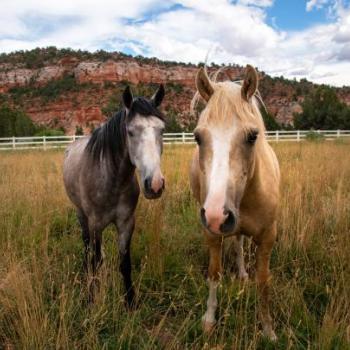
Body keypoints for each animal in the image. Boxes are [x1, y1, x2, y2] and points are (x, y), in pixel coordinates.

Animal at [62, 85, 165, 306]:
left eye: (162, 130)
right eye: (130, 131)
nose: (155, 184)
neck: (112, 180)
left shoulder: (126, 223)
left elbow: (125, 263)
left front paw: (130, 301)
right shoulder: (95, 224)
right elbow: (95, 260)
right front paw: (92, 298)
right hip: (81, 215)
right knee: (87, 248)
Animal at [190, 65, 280, 340]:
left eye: (252, 136)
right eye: (198, 137)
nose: (217, 215)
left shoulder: (268, 238)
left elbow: (263, 283)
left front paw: (268, 329)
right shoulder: (211, 234)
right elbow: (214, 275)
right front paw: (209, 320)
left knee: (239, 242)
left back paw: (241, 273)